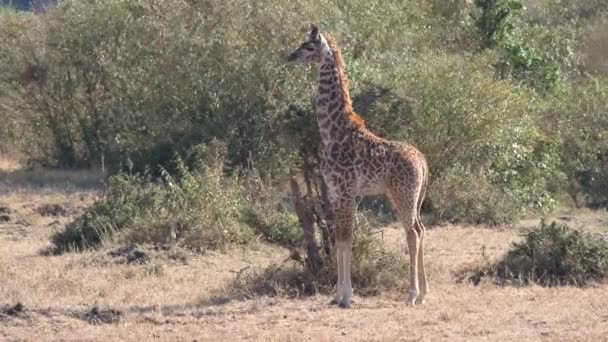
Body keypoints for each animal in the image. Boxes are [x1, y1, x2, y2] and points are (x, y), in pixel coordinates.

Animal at [288, 24, 430, 308]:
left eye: (310, 46)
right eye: (301, 43)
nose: (290, 57)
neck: (333, 131)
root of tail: (422, 162)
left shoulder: (346, 192)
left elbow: (345, 239)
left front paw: (346, 295)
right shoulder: (335, 193)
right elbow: (340, 240)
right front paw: (337, 294)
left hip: (402, 195)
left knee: (412, 233)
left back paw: (412, 294)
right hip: (415, 197)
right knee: (421, 229)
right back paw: (423, 293)